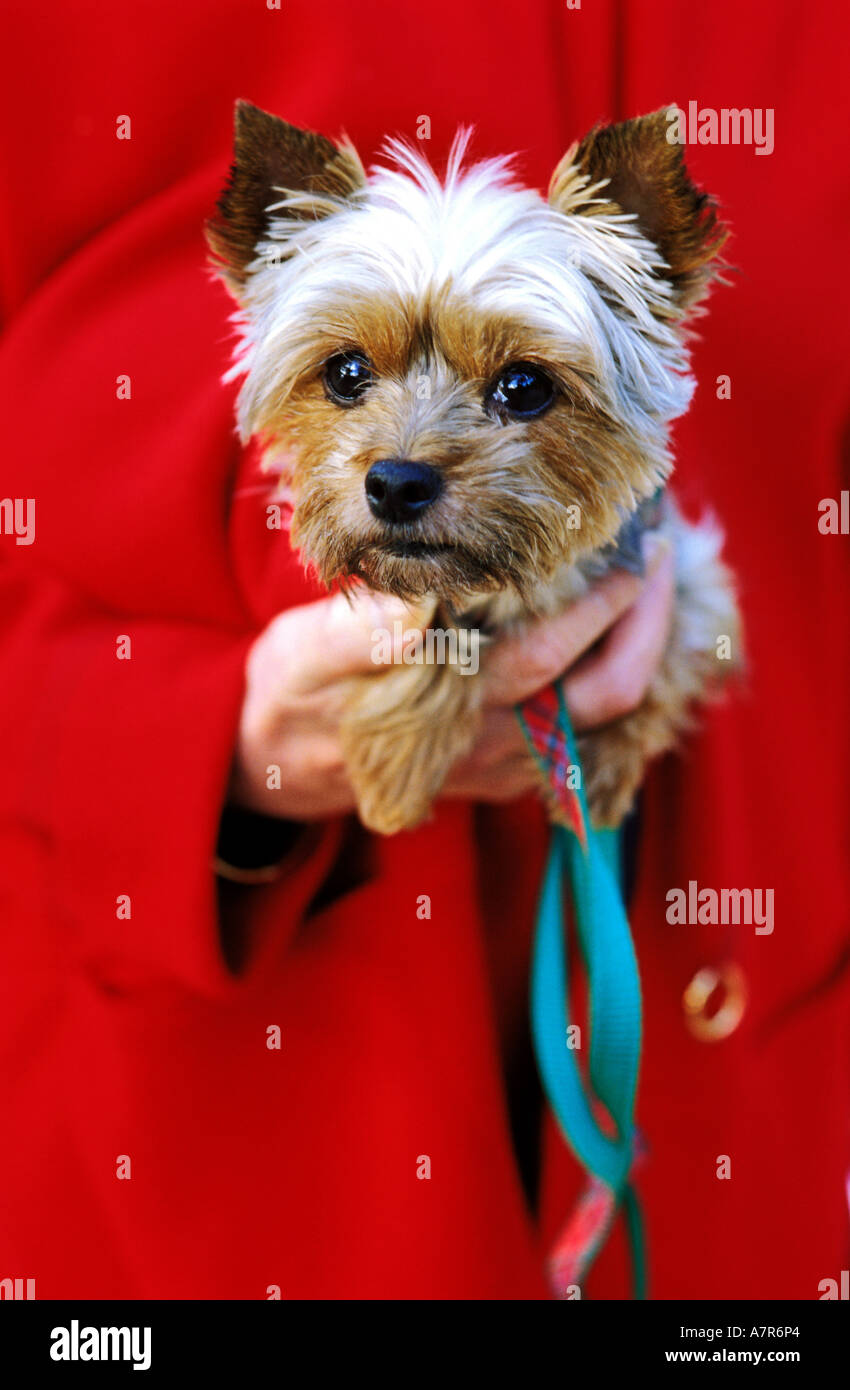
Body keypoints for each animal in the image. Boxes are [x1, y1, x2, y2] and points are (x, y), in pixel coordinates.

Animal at [205, 102, 738, 834]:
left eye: (524, 386)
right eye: (346, 373)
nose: (396, 484)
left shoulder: (683, 567)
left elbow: (674, 643)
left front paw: (600, 778)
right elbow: (430, 624)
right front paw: (397, 768)